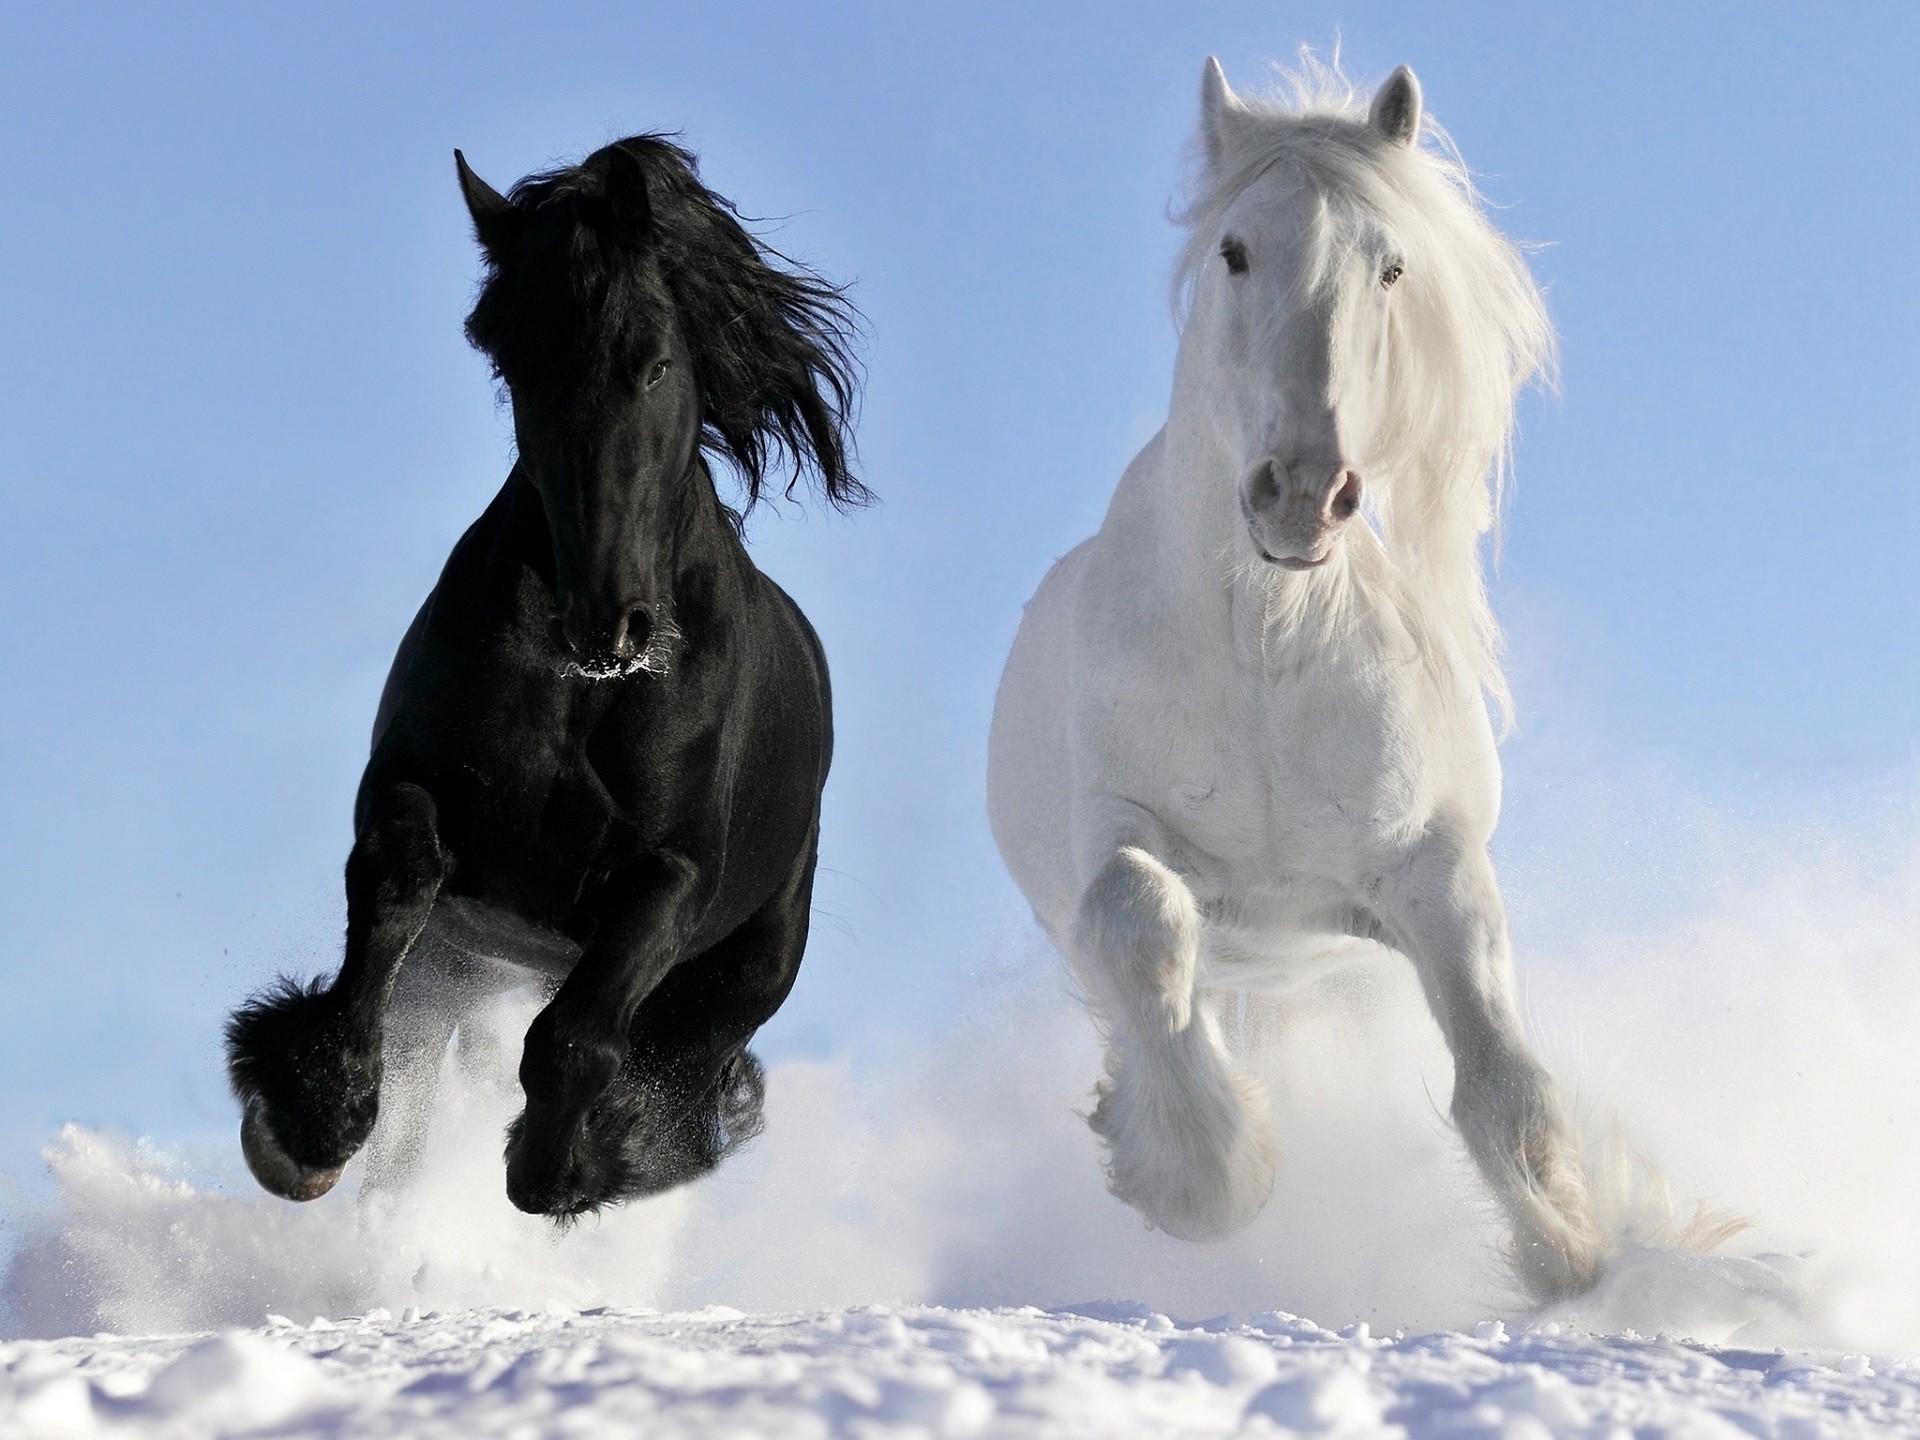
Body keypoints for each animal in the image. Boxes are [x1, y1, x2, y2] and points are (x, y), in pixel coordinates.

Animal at [225, 134, 866, 1218]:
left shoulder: (670, 877)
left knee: (680, 1062)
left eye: (654, 361)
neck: (587, 694)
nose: (609, 622)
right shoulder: (413, 791)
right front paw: (309, 1120)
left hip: (745, 967)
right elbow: (393, 890)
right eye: (517, 365)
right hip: (460, 962)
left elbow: (576, 1038)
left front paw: (564, 1164)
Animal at [987, 56, 1610, 1302]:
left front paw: (1576, 1256)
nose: (1304, 493)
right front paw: (1206, 1176)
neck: (1270, 643)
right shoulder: (1116, 833)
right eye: (1234, 250)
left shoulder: (1432, 870)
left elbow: (1504, 1084)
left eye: (1392, 264)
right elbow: (1137, 918)